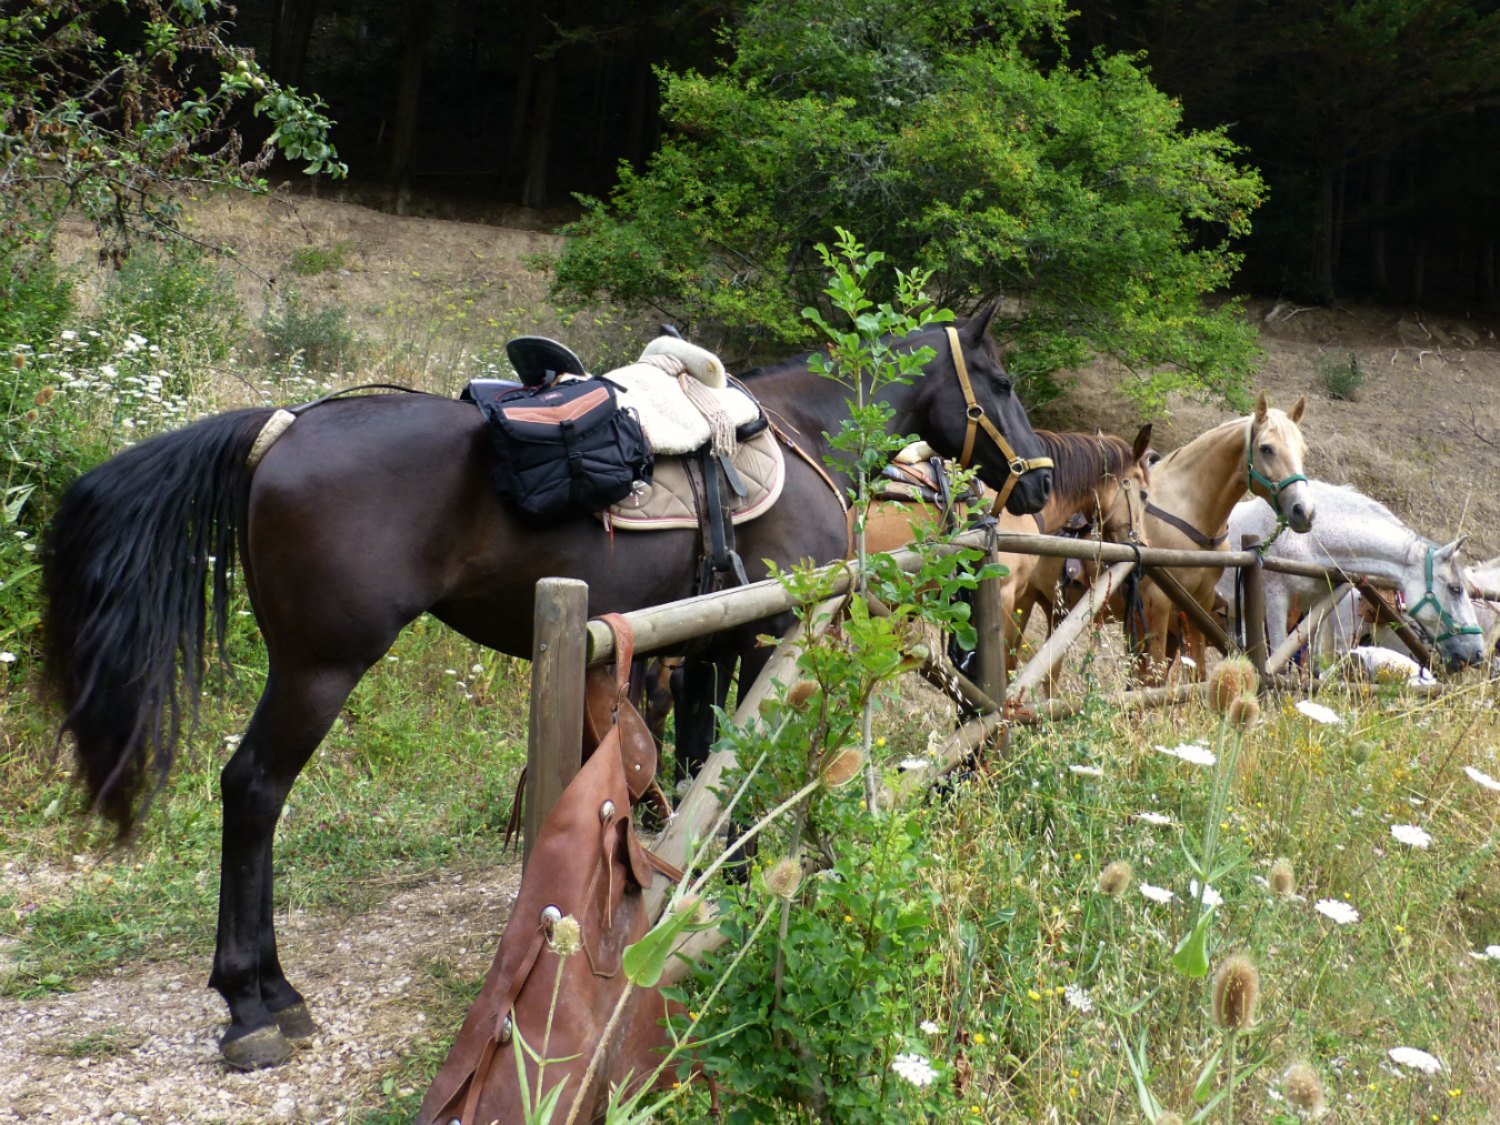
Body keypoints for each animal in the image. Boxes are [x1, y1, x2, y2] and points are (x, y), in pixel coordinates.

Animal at [46, 301, 1056, 1074]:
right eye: (1003, 382)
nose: (1040, 480)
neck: (802, 433)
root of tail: (284, 425)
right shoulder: (771, 633)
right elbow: (738, 766)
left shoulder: (709, 641)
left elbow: (702, 764)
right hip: (318, 667)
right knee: (252, 789)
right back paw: (259, 1002)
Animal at [1218, 480, 1488, 675]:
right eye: (1455, 588)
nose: (1477, 654)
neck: (1308, 539)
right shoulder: (1277, 603)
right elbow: (1280, 667)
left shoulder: (1316, 607)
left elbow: (1312, 667)